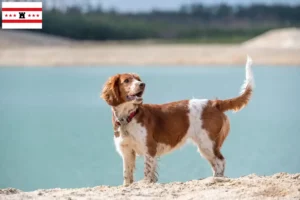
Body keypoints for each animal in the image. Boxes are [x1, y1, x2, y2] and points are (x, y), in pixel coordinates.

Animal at [100, 55, 253, 186]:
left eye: (137, 79)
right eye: (127, 80)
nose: (142, 84)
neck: (128, 117)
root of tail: (214, 103)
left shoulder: (149, 148)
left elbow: (147, 172)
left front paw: (146, 183)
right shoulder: (126, 151)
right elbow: (127, 175)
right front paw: (127, 185)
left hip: (207, 143)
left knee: (220, 161)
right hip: (206, 146)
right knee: (216, 164)